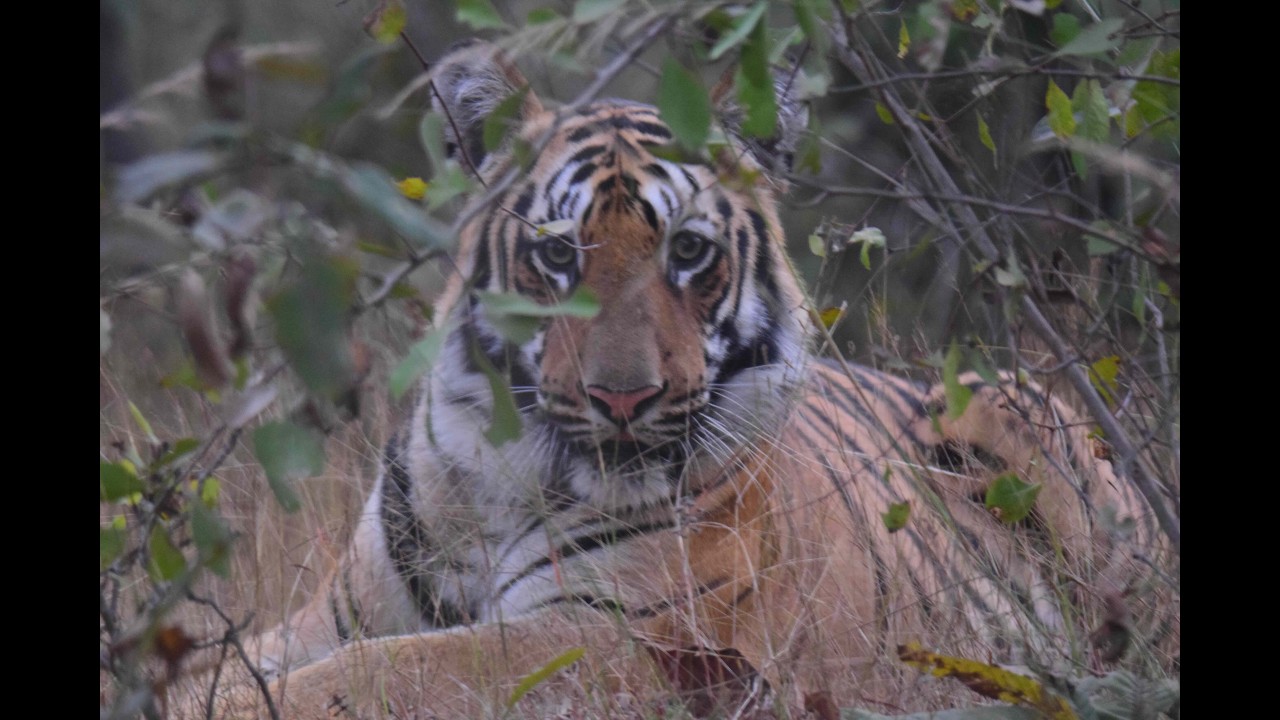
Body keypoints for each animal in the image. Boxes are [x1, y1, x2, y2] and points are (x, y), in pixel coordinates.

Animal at [194, 41, 1166, 718]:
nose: (623, 399)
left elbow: (398, 669)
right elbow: (242, 650)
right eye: (559, 254)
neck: (499, 476)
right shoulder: (335, 612)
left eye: (688, 251)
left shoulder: (618, 634)